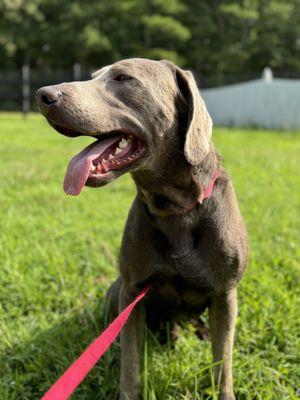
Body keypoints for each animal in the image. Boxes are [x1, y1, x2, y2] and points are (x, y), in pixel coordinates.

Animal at [36, 57, 248, 398]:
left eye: (123, 78)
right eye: (93, 77)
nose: (43, 95)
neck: (175, 209)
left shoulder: (226, 294)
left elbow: (222, 362)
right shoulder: (133, 289)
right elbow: (131, 361)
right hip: (116, 292)